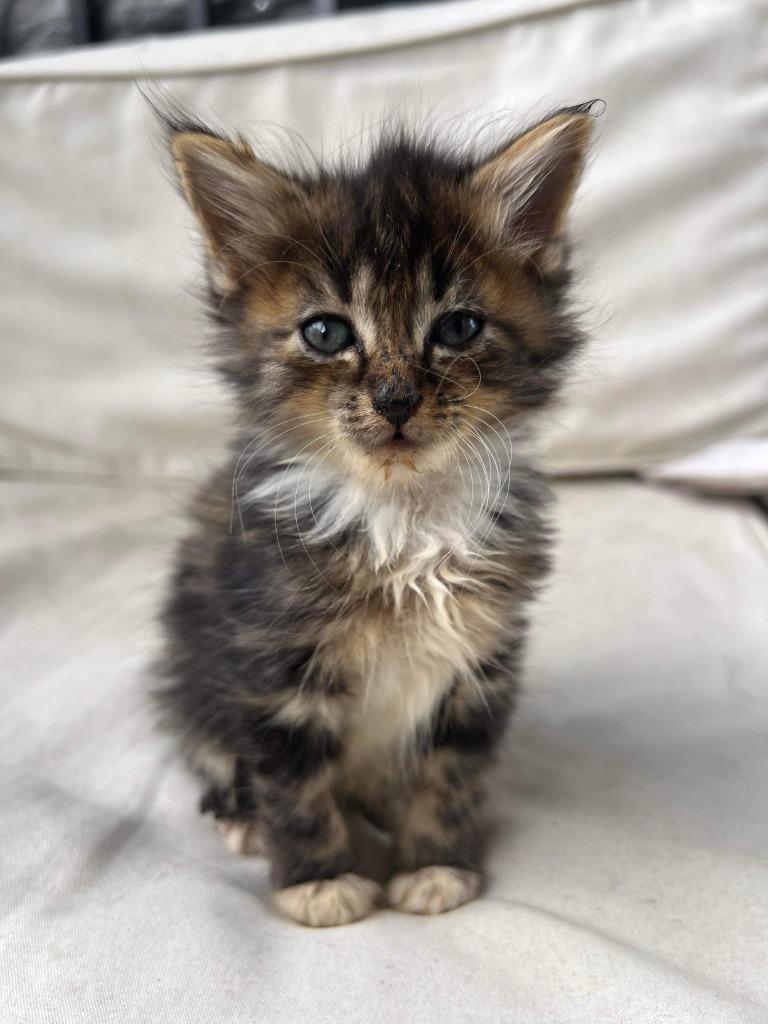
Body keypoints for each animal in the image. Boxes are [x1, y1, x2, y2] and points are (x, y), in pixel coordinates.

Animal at [156, 100, 598, 927]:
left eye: (458, 328)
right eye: (326, 332)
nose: (396, 399)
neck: (404, 516)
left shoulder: (480, 662)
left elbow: (450, 775)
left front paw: (435, 864)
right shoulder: (274, 665)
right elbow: (295, 786)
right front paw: (319, 879)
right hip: (189, 671)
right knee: (214, 749)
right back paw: (242, 818)